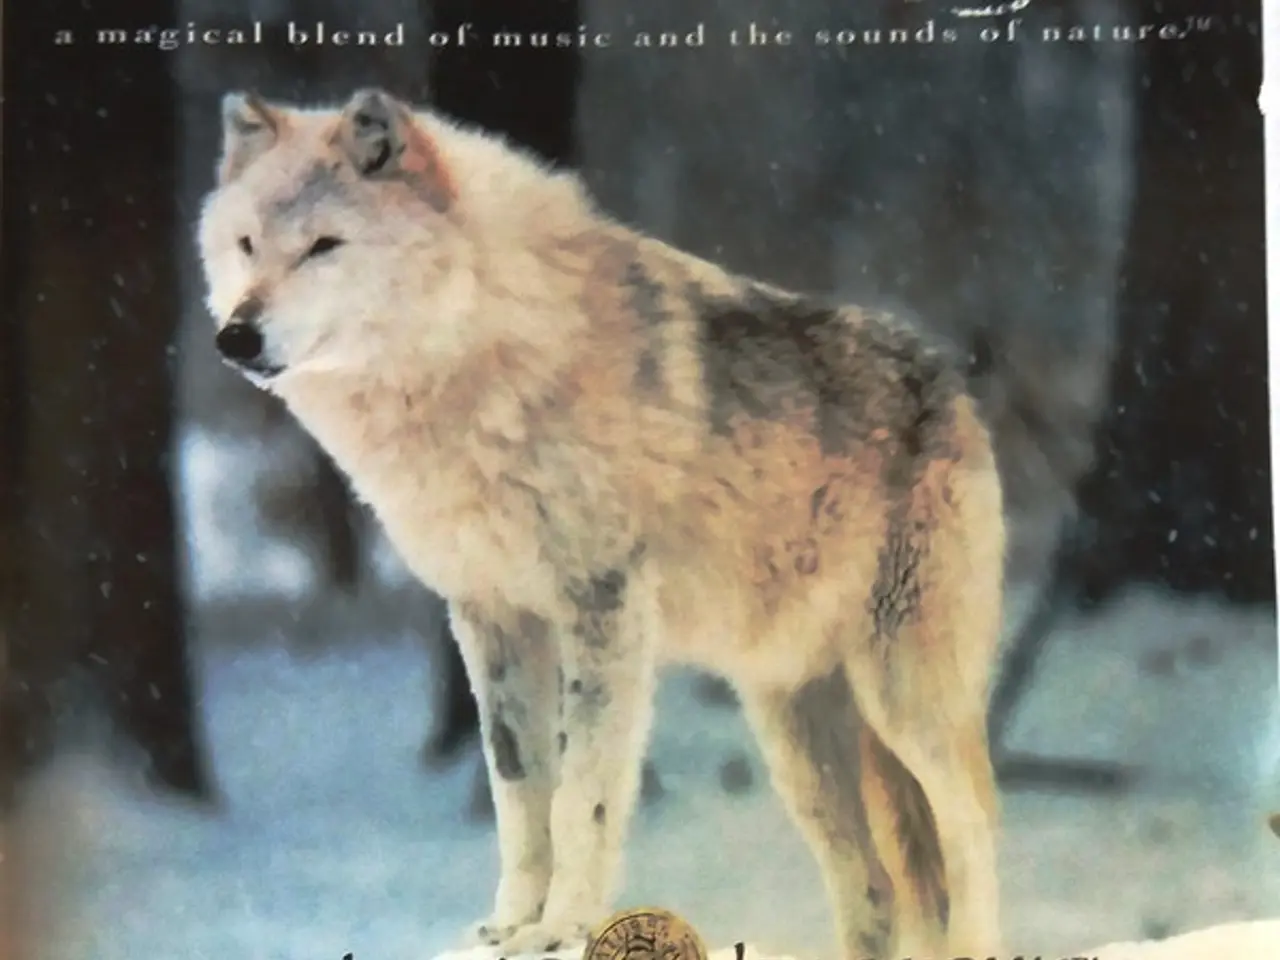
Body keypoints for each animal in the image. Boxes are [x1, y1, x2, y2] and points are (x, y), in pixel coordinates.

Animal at [197, 88, 1006, 960]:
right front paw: (508, 926)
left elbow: (580, 795)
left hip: (906, 705)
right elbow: (520, 795)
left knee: (973, 828)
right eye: (247, 244)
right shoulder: (490, 615)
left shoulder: (602, 606)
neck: (483, 362)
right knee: (877, 888)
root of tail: (951, 381)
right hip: (796, 740)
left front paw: (561, 930)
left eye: (323, 246)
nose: (234, 335)